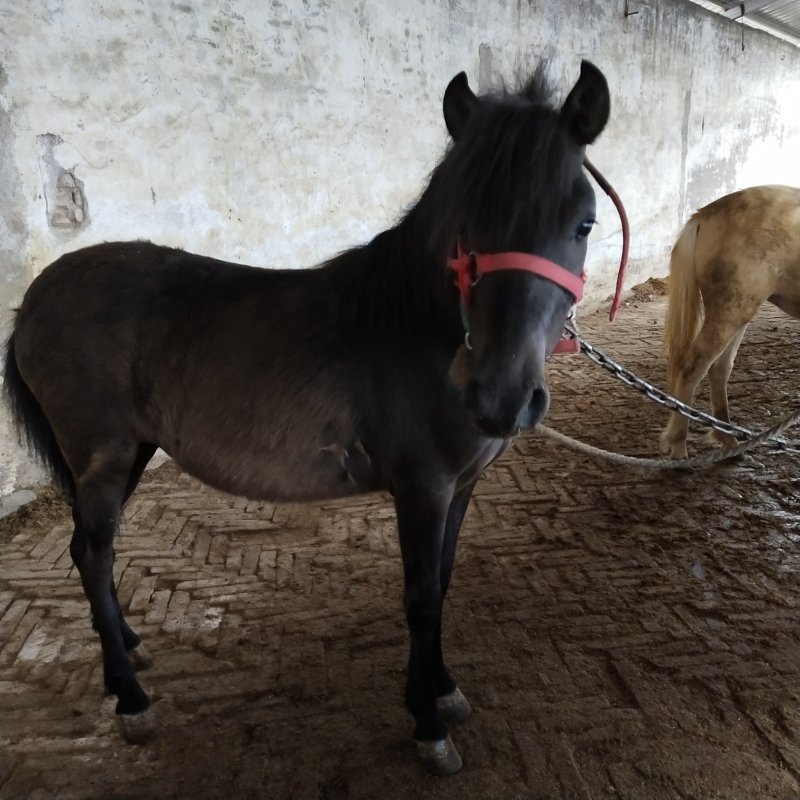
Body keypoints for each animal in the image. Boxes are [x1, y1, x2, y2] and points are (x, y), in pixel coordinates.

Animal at [3, 60, 610, 774]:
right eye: (465, 225)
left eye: (584, 225)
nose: (501, 398)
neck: (413, 327)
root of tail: (34, 299)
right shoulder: (422, 490)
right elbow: (421, 599)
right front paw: (428, 722)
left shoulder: (462, 487)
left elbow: (443, 582)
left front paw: (443, 689)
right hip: (104, 457)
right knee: (95, 555)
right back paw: (129, 698)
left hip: (131, 455)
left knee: (89, 551)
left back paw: (126, 647)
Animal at [660, 185, 800, 460]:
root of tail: (703, 215)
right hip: (731, 312)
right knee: (694, 368)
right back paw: (679, 445)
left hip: (737, 312)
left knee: (719, 368)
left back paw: (727, 438)